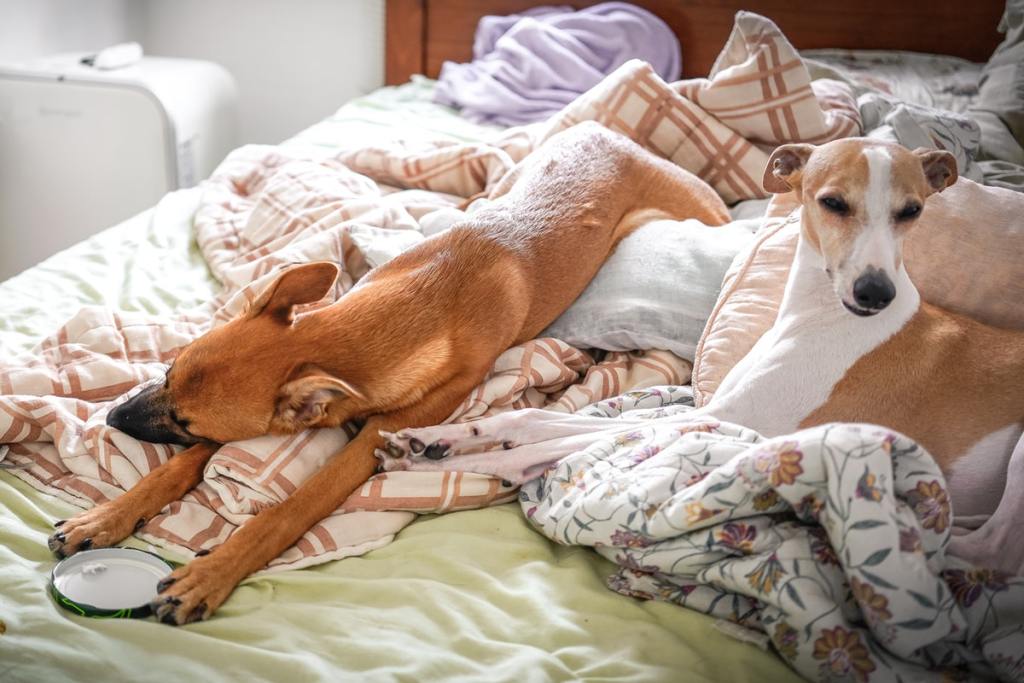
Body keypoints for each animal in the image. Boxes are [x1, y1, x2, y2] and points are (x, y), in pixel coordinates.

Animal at [44, 122, 724, 626]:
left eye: (184, 419)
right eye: (166, 371)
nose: (111, 417)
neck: (415, 308)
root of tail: (613, 136)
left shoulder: (370, 438)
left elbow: (288, 509)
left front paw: (211, 574)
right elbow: (179, 467)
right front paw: (105, 519)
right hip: (498, 185)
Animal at [385, 137, 1024, 573]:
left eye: (912, 210)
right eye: (833, 202)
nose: (874, 293)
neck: (823, 318)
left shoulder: (732, 422)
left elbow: (548, 443)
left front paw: (427, 465)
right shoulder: (716, 411)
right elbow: (538, 420)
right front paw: (438, 438)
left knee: (992, 550)